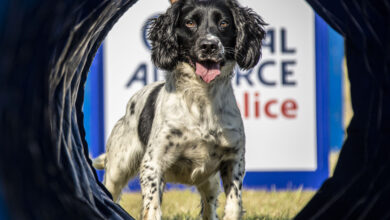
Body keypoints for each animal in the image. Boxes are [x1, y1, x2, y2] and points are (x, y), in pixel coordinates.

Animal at [93, 0, 266, 219]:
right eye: (190, 23)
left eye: (224, 23)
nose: (209, 45)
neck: (201, 99)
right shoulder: (153, 164)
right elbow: (152, 209)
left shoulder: (233, 159)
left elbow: (234, 204)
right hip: (117, 169)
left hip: (209, 182)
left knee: (209, 207)